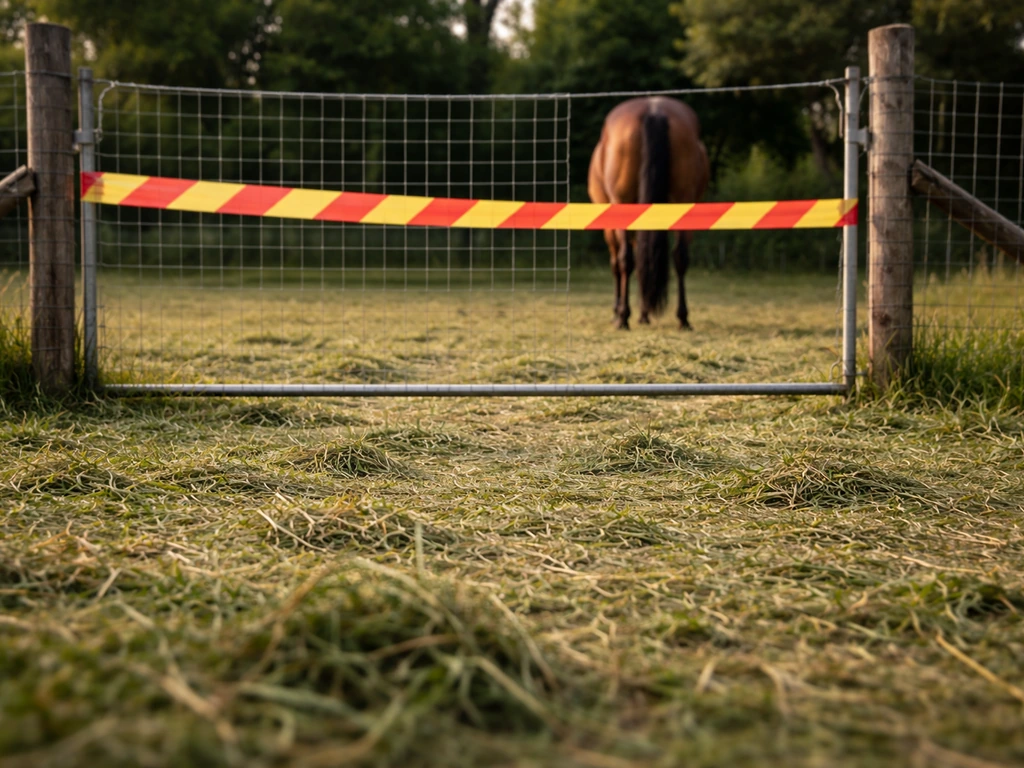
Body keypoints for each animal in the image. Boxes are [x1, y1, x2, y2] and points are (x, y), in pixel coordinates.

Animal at [587, 97, 709, 330]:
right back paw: (682, 318)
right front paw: (643, 312)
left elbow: (618, 263)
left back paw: (623, 317)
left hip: (622, 205)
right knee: (679, 256)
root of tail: (654, 110)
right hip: (684, 203)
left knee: (625, 259)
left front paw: (619, 311)